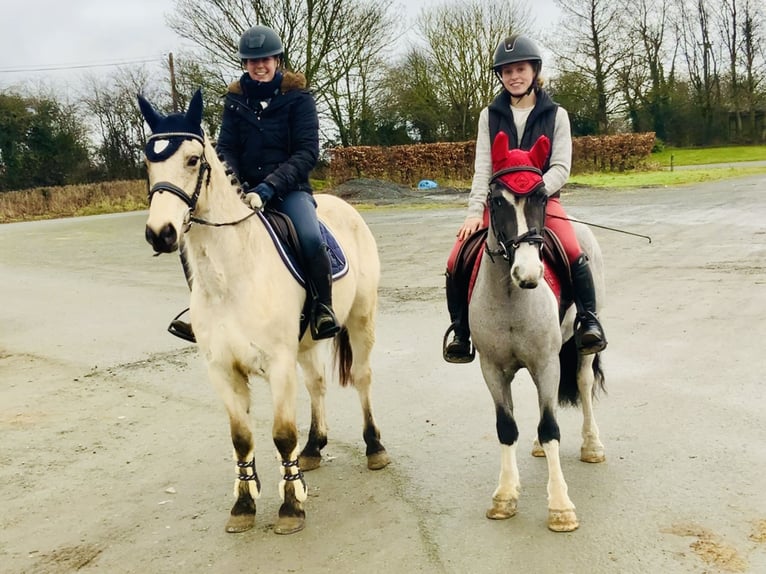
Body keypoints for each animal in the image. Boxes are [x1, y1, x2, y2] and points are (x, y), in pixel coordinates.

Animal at [139, 90, 390, 536]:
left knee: (361, 377)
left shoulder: (278, 363)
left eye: (192, 159)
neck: (230, 277)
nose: (160, 233)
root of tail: (341, 206)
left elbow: (282, 434)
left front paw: (291, 507)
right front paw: (243, 505)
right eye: (147, 163)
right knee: (317, 385)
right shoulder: (222, 370)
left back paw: (373, 446)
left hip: (361, 320)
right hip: (306, 344)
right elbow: (241, 438)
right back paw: (315, 447)